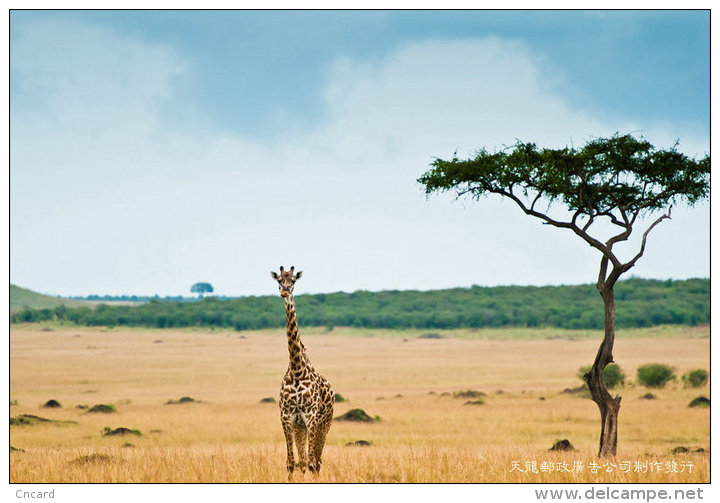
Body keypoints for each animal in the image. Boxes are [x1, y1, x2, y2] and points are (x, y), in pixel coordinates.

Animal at [272, 266, 336, 478]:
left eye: (293, 281)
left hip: (325, 423)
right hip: (300, 427)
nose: (284, 292)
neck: (297, 370)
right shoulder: (287, 417)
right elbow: (291, 462)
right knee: (303, 460)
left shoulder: (311, 417)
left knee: (317, 461)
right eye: (279, 281)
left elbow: (311, 462)